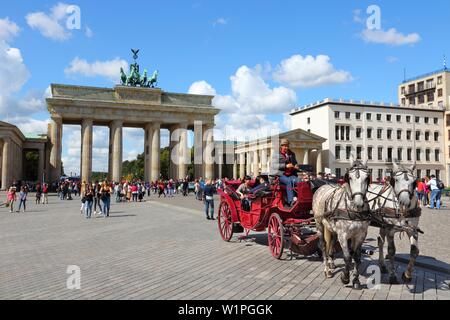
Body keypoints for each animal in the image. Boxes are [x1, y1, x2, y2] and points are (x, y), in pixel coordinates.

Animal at [312, 158, 370, 290]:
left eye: (366, 178)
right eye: (350, 177)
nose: (359, 203)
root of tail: (322, 186)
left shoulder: (360, 235)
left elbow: (357, 257)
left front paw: (356, 280)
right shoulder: (343, 235)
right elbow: (347, 257)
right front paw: (345, 278)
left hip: (331, 228)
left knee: (332, 242)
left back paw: (331, 262)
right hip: (319, 224)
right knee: (323, 245)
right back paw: (327, 269)